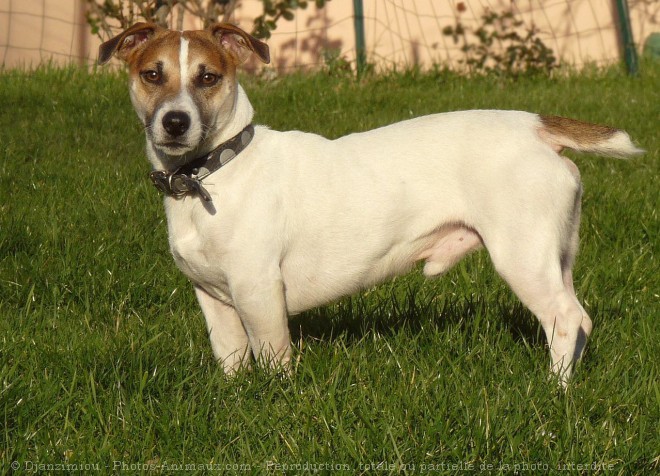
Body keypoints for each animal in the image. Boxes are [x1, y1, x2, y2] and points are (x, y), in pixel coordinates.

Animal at [99, 23, 644, 386]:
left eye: (208, 77)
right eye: (152, 74)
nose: (174, 122)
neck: (211, 173)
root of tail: (537, 127)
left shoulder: (258, 293)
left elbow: (274, 359)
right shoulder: (213, 299)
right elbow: (232, 359)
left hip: (523, 257)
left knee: (564, 319)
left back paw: (554, 392)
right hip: (556, 256)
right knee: (579, 319)